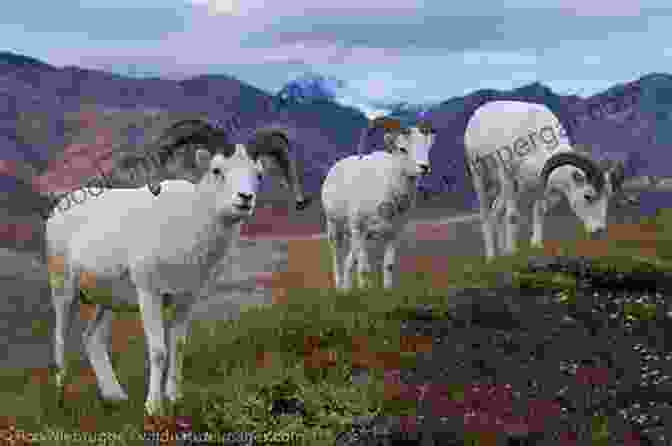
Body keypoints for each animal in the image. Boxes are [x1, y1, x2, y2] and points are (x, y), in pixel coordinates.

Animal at [48, 139, 306, 414]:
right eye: (217, 170)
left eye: (258, 174)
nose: (245, 198)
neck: (187, 232)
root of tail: (59, 209)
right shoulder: (150, 296)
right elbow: (159, 350)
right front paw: (153, 407)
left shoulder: (185, 300)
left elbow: (178, 345)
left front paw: (173, 397)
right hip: (64, 292)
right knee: (60, 339)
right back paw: (61, 398)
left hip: (107, 303)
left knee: (92, 338)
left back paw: (115, 396)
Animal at [322, 116, 438, 290]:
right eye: (402, 149)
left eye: (426, 147)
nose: (424, 167)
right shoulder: (359, 229)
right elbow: (364, 268)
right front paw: (364, 290)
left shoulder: (392, 234)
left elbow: (388, 265)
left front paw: (386, 289)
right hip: (335, 227)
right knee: (338, 255)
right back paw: (339, 286)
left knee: (351, 259)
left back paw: (347, 286)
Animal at [464, 100, 632, 262]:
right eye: (588, 196)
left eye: (607, 197)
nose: (599, 231)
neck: (534, 145)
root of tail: (478, 113)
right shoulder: (507, 178)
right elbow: (512, 216)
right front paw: (512, 252)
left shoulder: (540, 185)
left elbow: (539, 211)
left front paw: (535, 244)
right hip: (481, 179)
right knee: (486, 214)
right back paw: (491, 257)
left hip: (515, 189)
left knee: (496, 211)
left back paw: (502, 253)